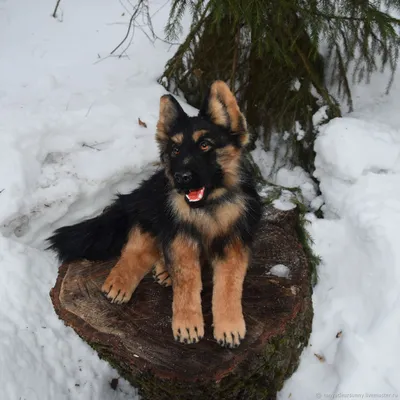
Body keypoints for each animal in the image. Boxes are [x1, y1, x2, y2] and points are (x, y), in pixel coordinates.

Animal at [47, 80, 262, 346]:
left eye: (205, 145)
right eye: (176, 150)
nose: (181, 178)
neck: (208, 208)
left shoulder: (233, 244)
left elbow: (228, 286)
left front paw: (228, 326)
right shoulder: (180, 237)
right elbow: (187, 282)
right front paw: (187, 322)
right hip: (152, 215)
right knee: (136, 248)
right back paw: (122, 281)